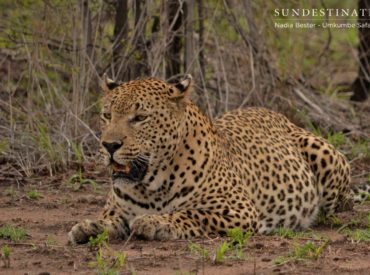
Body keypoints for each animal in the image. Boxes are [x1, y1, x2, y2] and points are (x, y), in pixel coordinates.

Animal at [68, 74, 362, 245]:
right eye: (107, 115)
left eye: (140, 118)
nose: (109, 145)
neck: (149, 185)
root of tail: (278, 114)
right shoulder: (116, 209)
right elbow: (109, 219)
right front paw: (88, 226)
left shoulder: (240, 210)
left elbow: (191, 213)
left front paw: (156, 222)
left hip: (324, 156)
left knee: (338, 206)